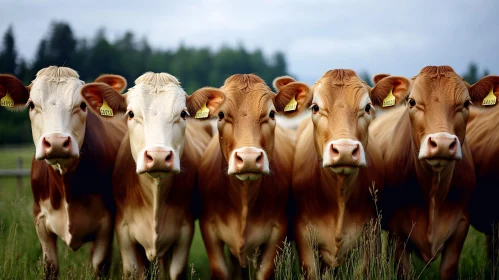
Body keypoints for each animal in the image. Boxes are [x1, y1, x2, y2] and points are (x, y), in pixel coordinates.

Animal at [0, 66, 128, 278]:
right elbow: (50, 266)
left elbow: (100, 266)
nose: (57, 142)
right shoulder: (41, 221)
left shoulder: (105, 225)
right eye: (31, 105)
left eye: (82, 105)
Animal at [81, 72, 224, 280]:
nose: (158, 156)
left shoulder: (185, 231)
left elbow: (176, 272)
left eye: (183, 114)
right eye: (131, 114)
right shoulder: (123, 231)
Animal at [370, 65, 498, 278]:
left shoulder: (460, 226)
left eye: (466, 103)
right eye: (412, 101)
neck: (433, 193)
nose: (443, 144)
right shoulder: (398, 234)